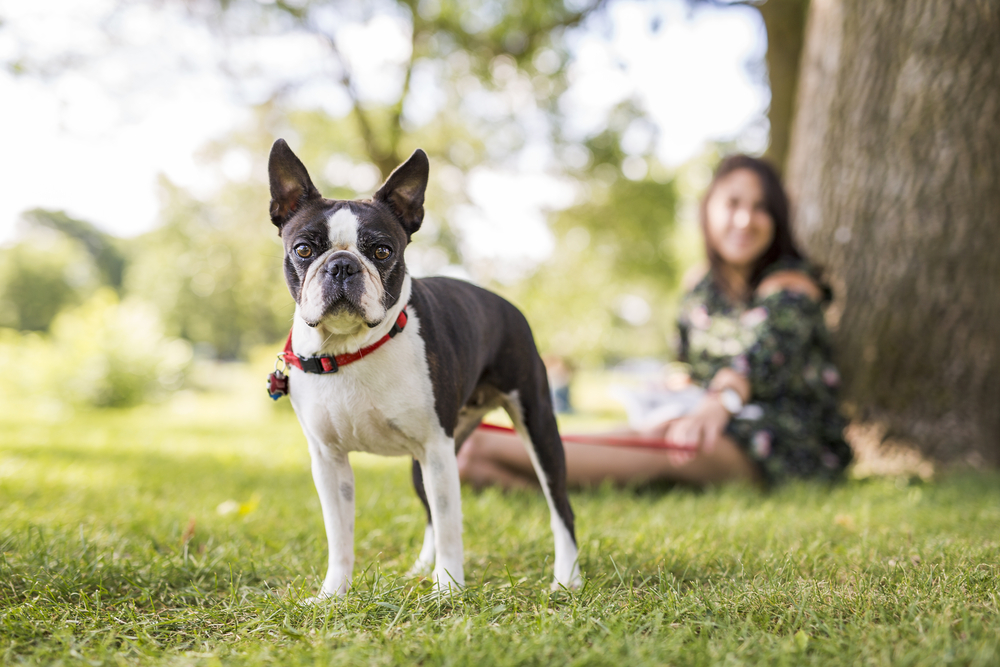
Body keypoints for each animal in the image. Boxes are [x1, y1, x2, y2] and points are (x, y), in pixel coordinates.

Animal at [268, 138, 580, 596]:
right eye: (303, 249)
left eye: (382, 251)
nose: (342, 265)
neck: (351, 348)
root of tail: (507, 305)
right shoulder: (329, 461)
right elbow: (340, 535)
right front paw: (333, 594)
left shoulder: (436, 448)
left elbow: (452, 525)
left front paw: (448, 590)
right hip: (425, 463)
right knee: (430, 511)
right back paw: (420, 567)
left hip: (535, 427)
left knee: (560, 507)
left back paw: (566, 578)